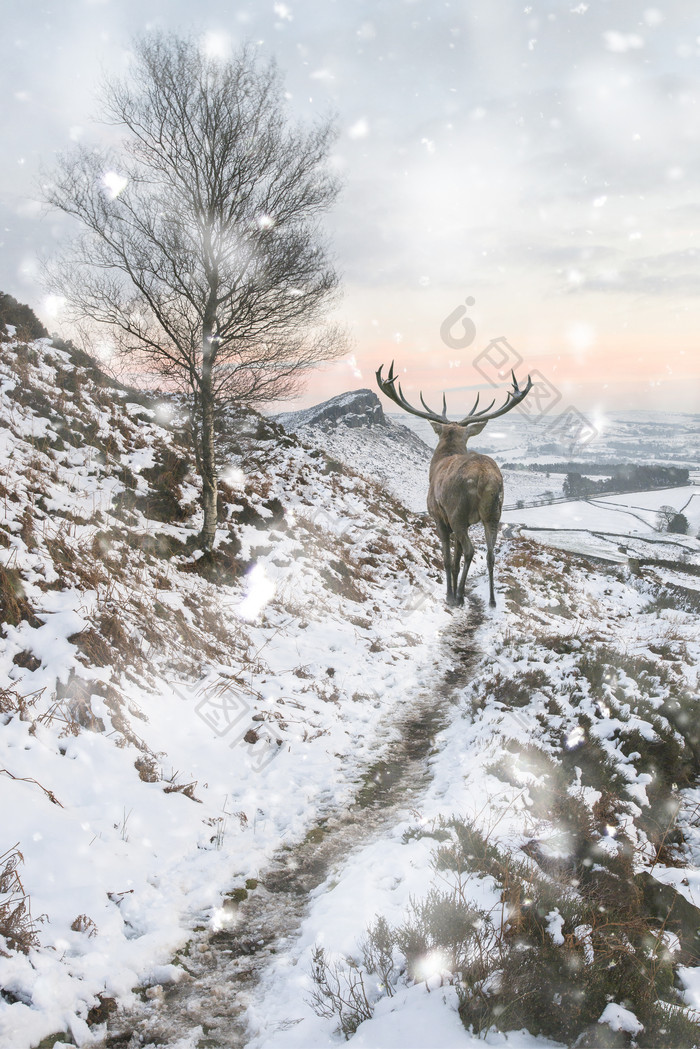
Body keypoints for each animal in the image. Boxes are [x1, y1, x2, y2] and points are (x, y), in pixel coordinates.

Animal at [377, 362, 531, 608]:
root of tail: (486, 477)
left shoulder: (439, 517)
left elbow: (449, 559)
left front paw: (449, 594)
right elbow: (457, 560)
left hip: (457, 512)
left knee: (470, 550)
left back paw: (457, 595)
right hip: (493, 513)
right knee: (490, 554)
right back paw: (491, 600)